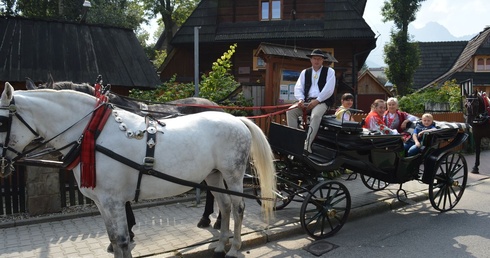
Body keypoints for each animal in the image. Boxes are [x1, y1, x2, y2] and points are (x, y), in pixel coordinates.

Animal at [0, 83, 276, 258]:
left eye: (2, 120)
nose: (1, 163)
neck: (94, 132)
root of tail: (236, 119)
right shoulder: (103, 202)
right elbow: (115, 240)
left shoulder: (113, 201)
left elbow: (122, 240)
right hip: (213, 174)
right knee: (225, 205)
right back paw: (220, 244)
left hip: (233, 174)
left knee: (238, 208)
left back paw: (235, 248)